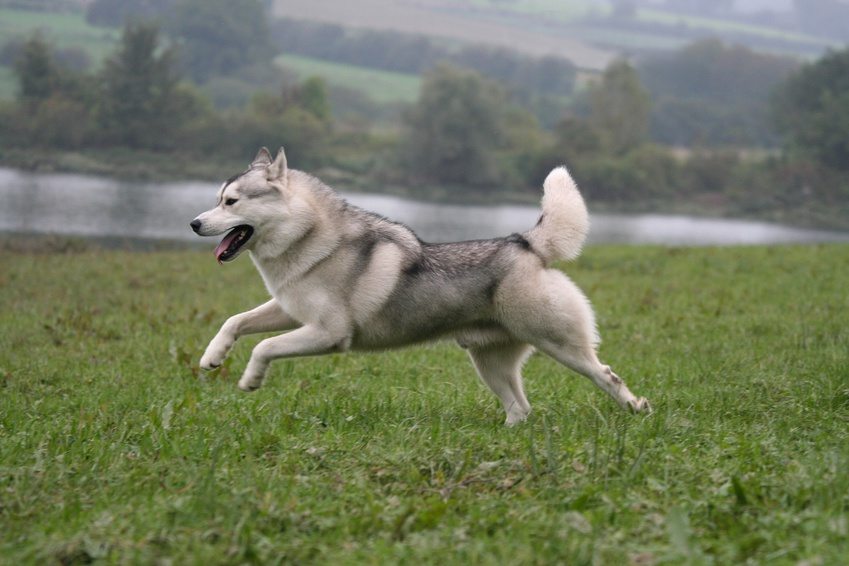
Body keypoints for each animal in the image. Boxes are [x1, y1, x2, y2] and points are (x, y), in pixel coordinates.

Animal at [187, 148, 648, 426]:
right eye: (217, 198)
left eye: (231, 202)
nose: (193, 223)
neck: (308, 238)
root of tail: (525, 243)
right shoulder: (288, 310)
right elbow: (235, 321)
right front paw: (212, 357)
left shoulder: (328, 333)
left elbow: (264, 347)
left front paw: (250, 380)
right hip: (490, 363)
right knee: (521, 407)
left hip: (562, 346)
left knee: (605, 375)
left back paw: (636, 407)